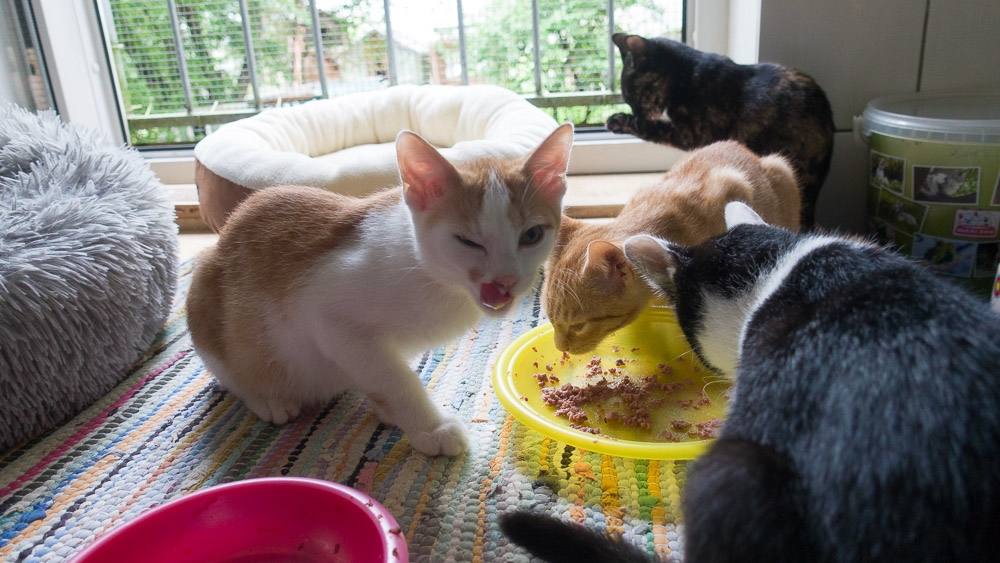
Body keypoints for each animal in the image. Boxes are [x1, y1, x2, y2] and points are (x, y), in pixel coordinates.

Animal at [188, 124, 576, 458]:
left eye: (531, 236)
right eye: (467, 241)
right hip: (210, 299)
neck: (433, 277)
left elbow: (383, 371)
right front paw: (430, 427)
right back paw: (268, 399)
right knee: (230, 372)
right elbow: (393, 378)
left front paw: (392, 410)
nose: (505, 280)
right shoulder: (328, 317)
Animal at [604, 33, 832, 229]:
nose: (636, 112)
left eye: (633, 95)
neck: (685, 75)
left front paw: (617, 120)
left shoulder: (689, 132)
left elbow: (649, 128)